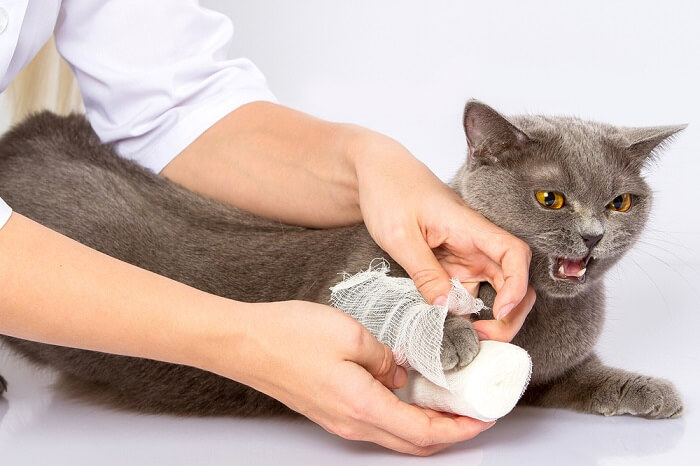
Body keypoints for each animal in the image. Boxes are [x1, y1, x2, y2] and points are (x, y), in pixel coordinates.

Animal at [0, 101, 684, 418]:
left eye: (621, 202)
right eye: (551, 198)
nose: (594, 235)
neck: (546, 318)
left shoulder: (554, 372)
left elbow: (583, 378)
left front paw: (651, 391)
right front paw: (447, 337)